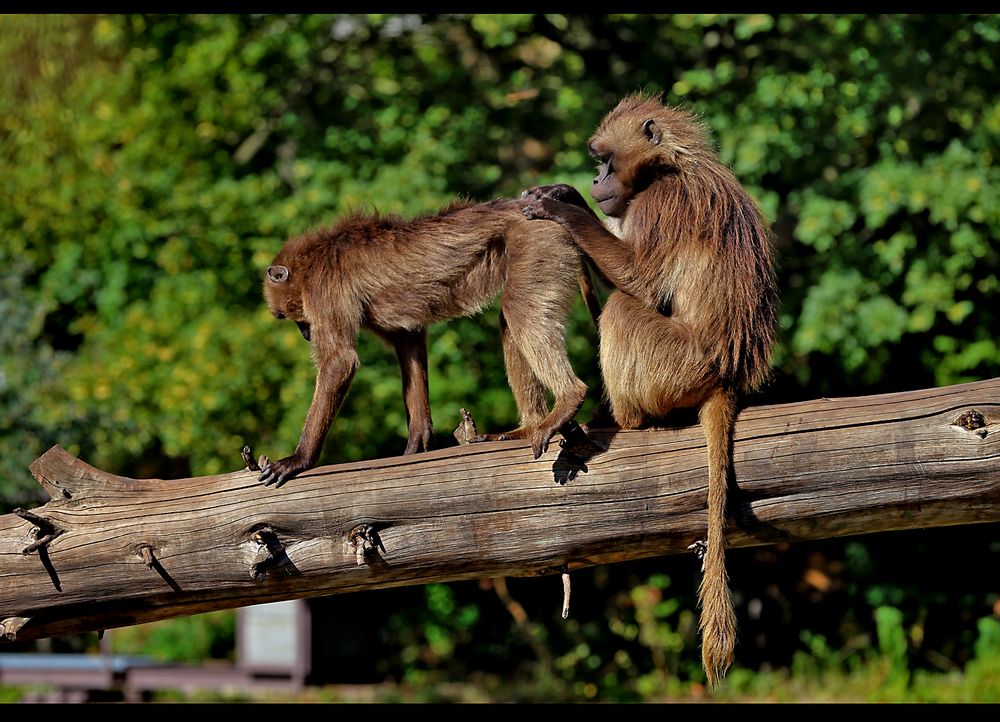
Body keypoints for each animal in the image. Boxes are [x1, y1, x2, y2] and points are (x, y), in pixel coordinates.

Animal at [258, 197, 596, 484]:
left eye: (293, 318)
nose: (306, 334)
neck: (313, 258)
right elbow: (409, 342)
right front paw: (417, 443)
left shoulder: (322, 290)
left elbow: (340, 361)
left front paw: (299, 459)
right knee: (510, 321)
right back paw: (528, 428)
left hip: (535, 242)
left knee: (519, 311)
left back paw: (569, 399)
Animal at [524, 91, 780, 688]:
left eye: (605, 159)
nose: (596, 180)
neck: (672, 167)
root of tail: (728, 376)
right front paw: (566, 196)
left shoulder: (660, 205)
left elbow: (639, 280)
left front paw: (563, 211)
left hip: (678, 366)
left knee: (623, 309)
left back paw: (623, 421)